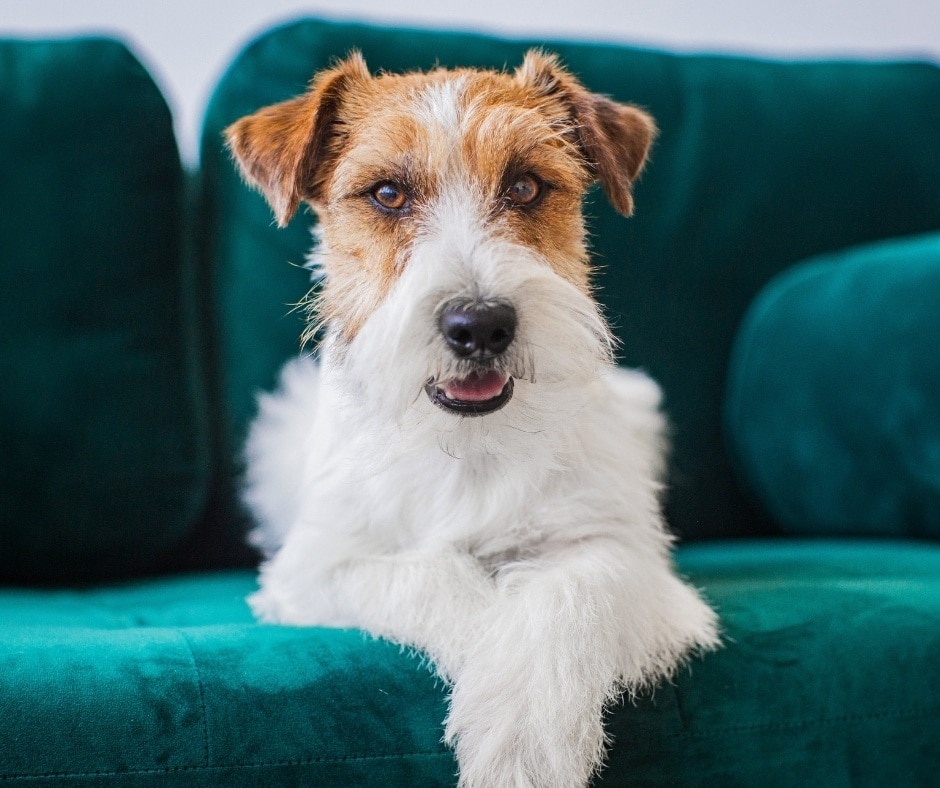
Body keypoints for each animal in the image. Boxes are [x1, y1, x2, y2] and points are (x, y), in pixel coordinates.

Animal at [226, 50, 720, 788]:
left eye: (525, 186)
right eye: (387, 194)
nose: (480, 324)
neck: (470, 445)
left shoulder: (615, 551)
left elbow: (563, 600)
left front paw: (526, 736)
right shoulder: (321, 565)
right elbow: (439, 581)